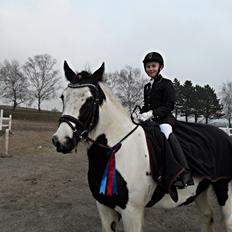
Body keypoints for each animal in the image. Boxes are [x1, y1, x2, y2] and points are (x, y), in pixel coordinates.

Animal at [51, 60, 232, 231]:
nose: (61, 140)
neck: (116, 148)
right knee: (207, 216)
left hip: (225, 188)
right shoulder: (104, 207)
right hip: (199, 190)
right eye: (63, 97)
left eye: (89, 100)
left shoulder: (132, 212)